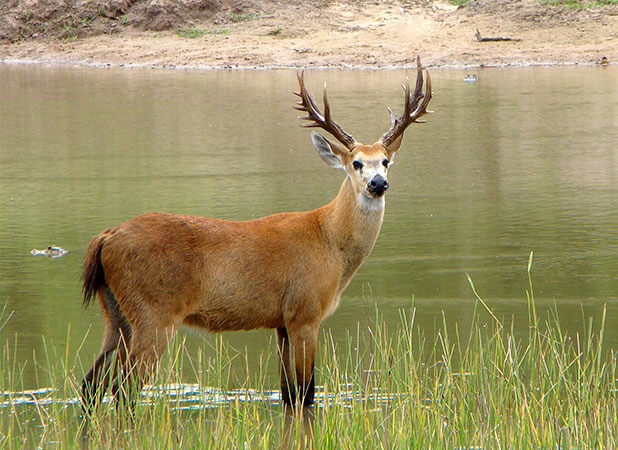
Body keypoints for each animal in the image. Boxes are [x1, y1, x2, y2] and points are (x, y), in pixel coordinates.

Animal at [79, 55, 430, 412]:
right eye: (357, 163)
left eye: (385, 161)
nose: (378, 183)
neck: (330, 243)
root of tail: (106, 237)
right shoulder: (305, 312)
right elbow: (307, 393)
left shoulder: (281, 322)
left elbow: (290, 395)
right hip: (153, 313)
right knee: (123, 389)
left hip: (116, 314)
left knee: (91, 384)